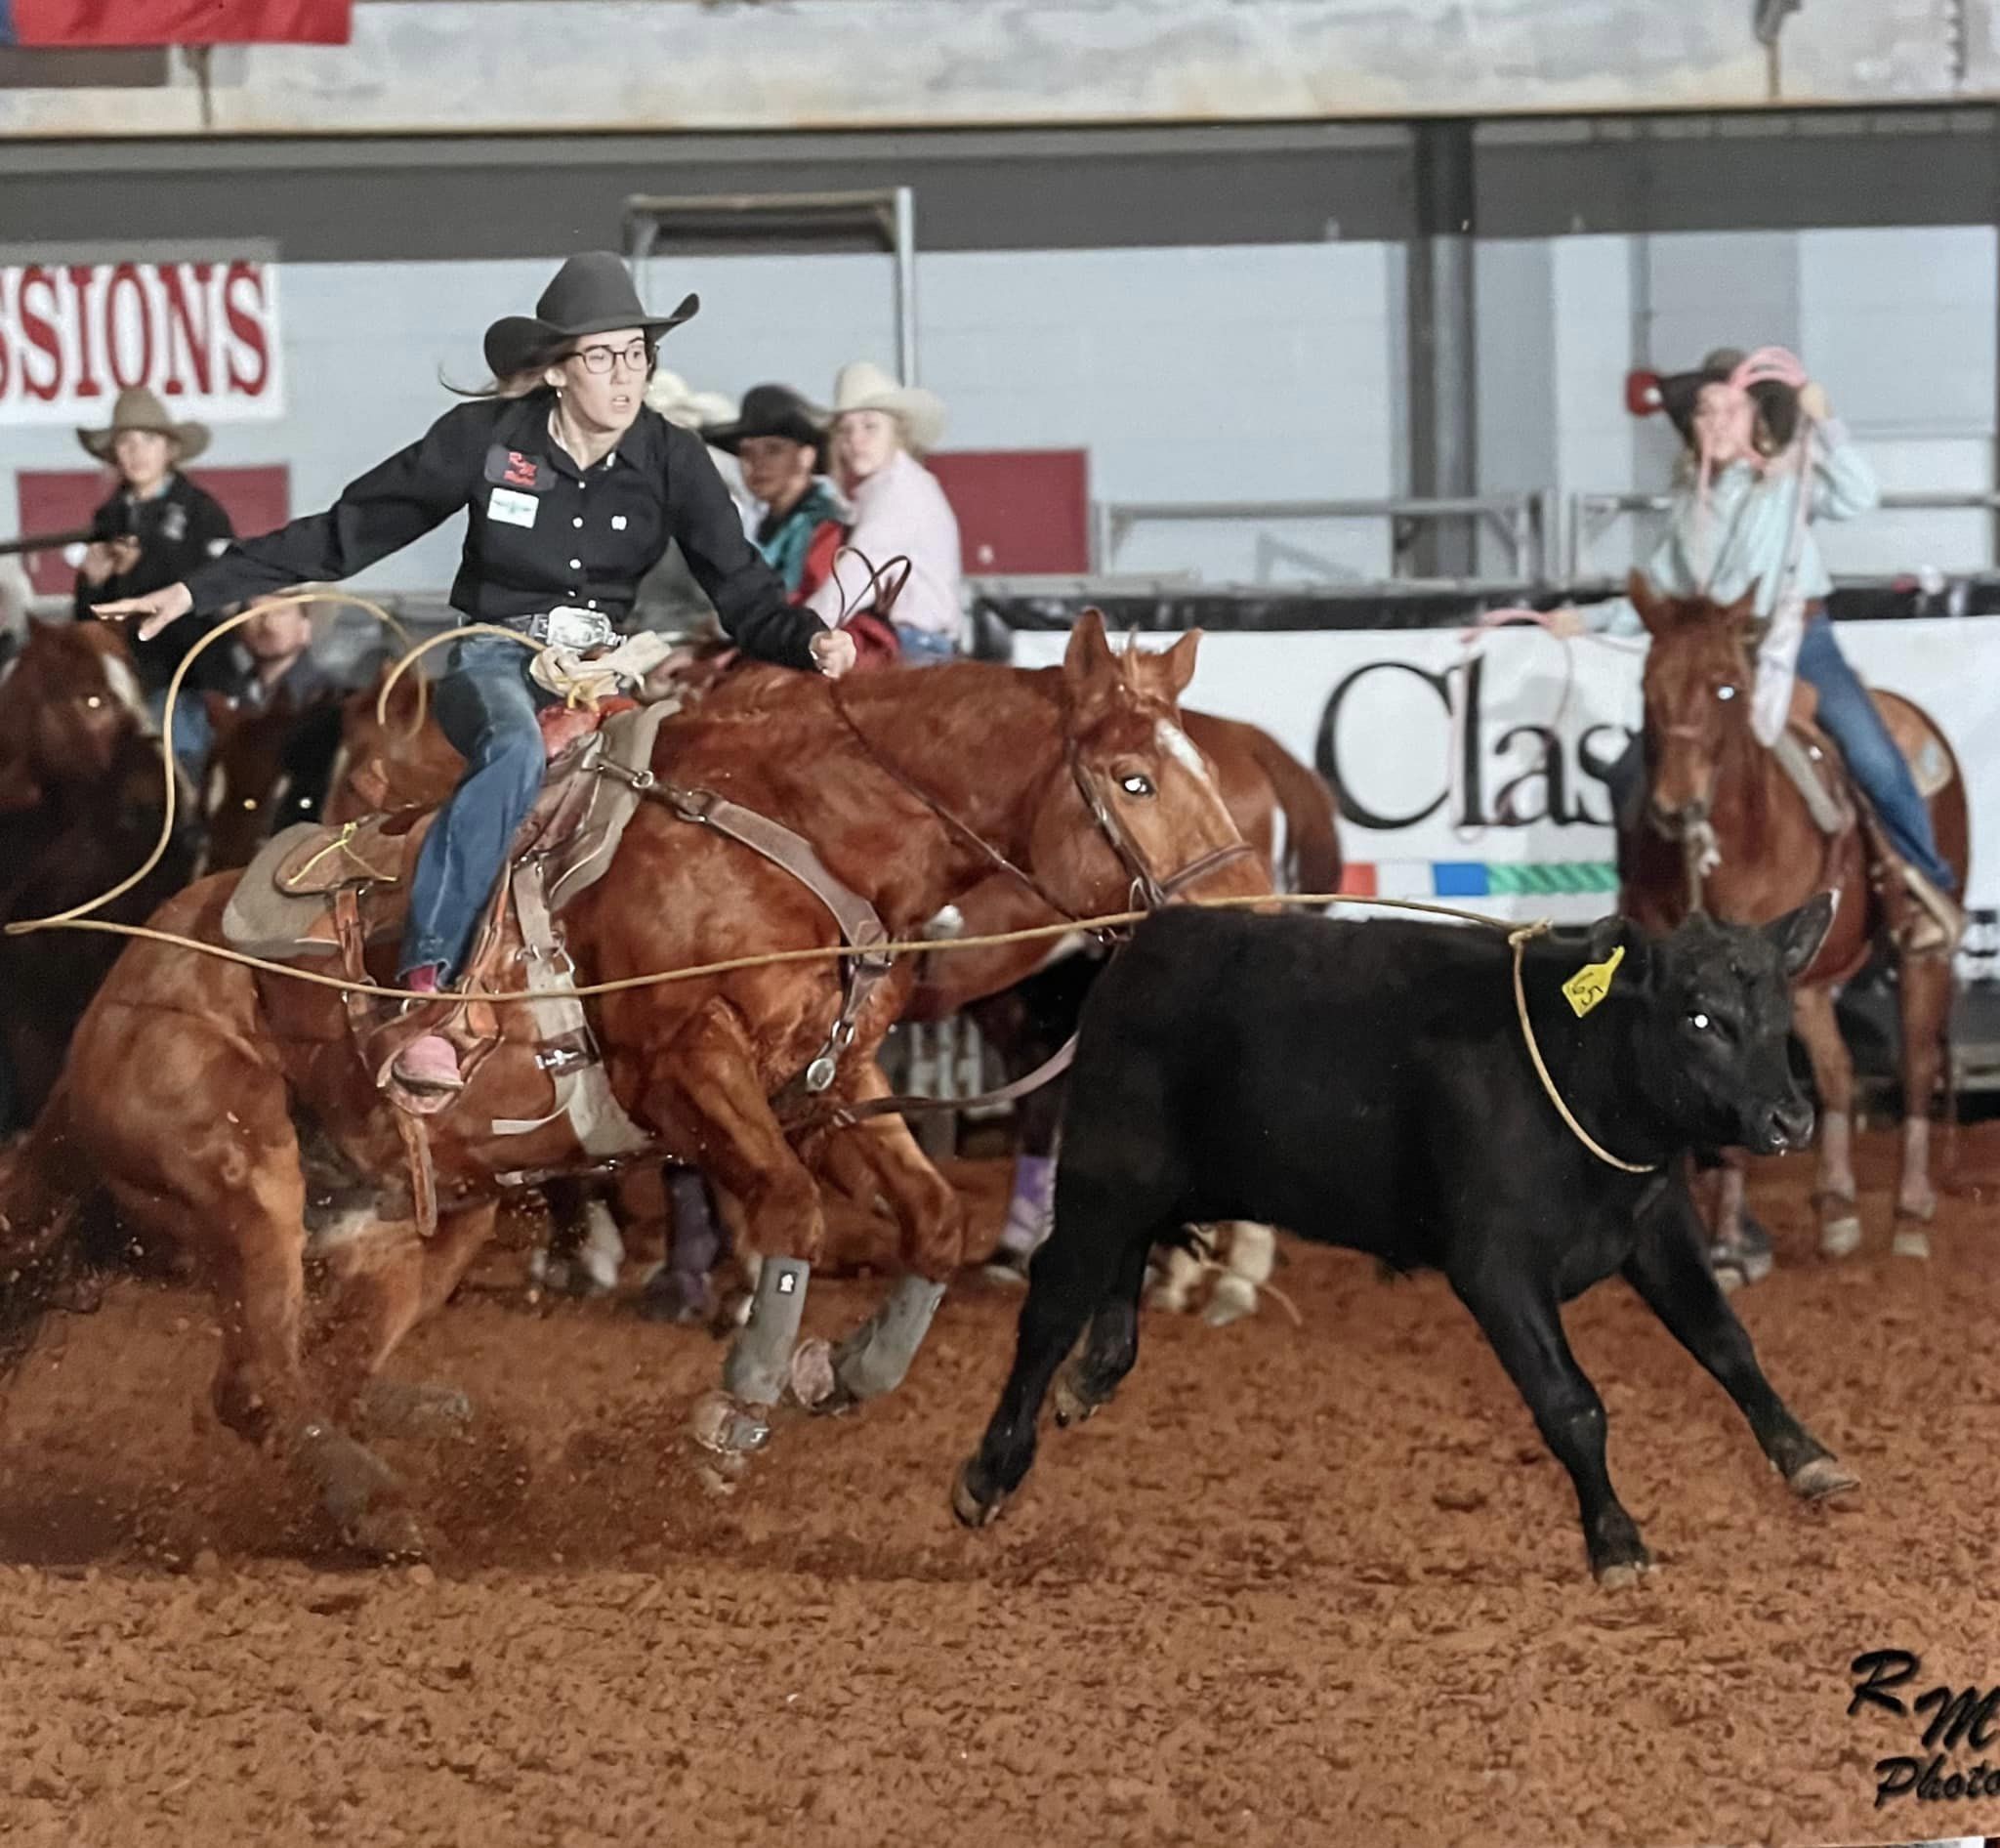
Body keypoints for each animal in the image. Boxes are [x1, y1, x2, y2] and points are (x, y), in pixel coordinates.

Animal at [0, 611, 1264, 1551]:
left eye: (1194, 770)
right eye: (1134, 779)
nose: (1247, 918)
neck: (802, 833)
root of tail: (120, 992)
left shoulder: (826, 1080)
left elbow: (935, 1219)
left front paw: (844, 1370)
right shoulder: (684, 1065)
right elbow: (791, 1212)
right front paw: (733, 1410)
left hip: (427, 1216)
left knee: (326, 1369)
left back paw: (421, 1431)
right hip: (241, 1179)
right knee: (260, 1379)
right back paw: (380, 1503)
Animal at [1607, 575, 1968, 1272]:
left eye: (1727, 688)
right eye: (1646, 683)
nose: (1676, 806)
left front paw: (1726, 1244)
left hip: (1922, 956)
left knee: (1913, 1067)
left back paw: (1909, 1216)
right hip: (1809, 990)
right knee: (1836, 1074)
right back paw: (1837, 1209)